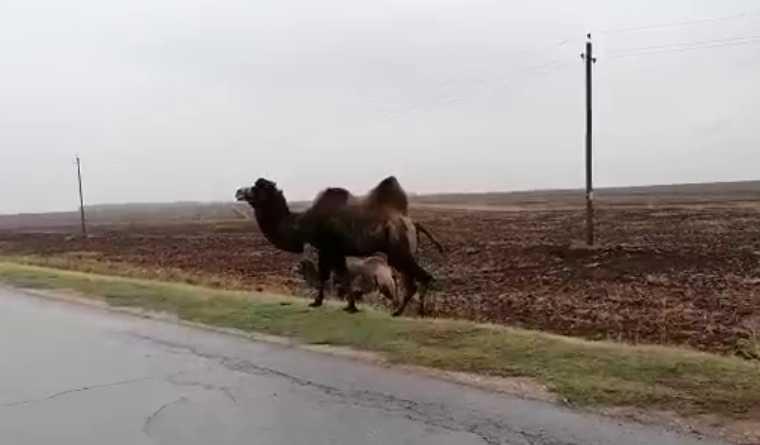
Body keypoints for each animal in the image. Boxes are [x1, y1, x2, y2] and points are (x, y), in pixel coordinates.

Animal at [236, 177, 440, 316]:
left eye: (257, 187)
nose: (238, 192)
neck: (302, 223)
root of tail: (412, 223)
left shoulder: (327, 248)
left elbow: (326, 275)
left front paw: (316, 302)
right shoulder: (337, 251)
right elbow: (343, 276)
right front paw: (351, 306)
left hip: (398, 248)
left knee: (424, 277)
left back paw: (416, 312)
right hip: (402, 252)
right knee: (413, 280)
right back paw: (399, 312)